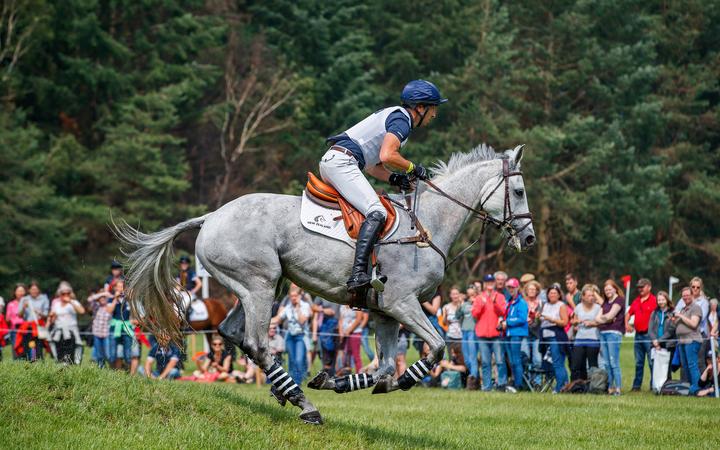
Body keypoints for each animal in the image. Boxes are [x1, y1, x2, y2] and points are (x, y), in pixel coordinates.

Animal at [115, 143, 536, 422]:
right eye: (518, 191)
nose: (529, 238)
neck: (427, 224)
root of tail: (211, 216)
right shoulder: (401, 304)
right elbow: (435, 348)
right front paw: (402, 382)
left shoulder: (384, 313)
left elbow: (384, 367)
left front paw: (337, 381)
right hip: (260, 284)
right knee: (256, 342)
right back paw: (304, 404)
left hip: (263, 286)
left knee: (234, 335)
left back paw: (287, 391)